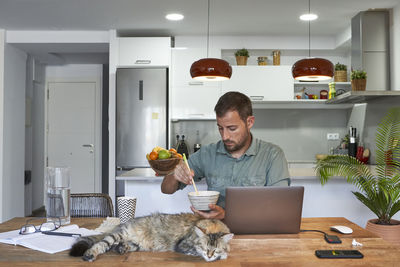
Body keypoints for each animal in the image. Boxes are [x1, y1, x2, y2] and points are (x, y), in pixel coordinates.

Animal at [70, 215, 233, 262]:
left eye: (215, 249)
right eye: (205, 248)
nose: (209, 255)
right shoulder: (183, 245)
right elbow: (194, 250)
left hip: (137, 245)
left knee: (119, 246)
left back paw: (122, 248)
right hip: (118, 235)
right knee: (101, 244)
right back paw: (90, 255)